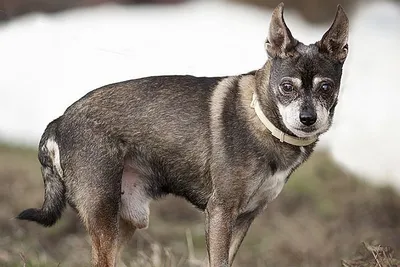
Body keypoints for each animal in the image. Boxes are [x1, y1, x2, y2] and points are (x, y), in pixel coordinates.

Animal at [17, 3, 348, 266]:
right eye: (287, 87)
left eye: (326, 87)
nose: (308, 119)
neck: (263, 119)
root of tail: (59, 121)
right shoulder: (220, 212)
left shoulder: (244, 218)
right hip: (103, 212)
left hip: (127, 218)